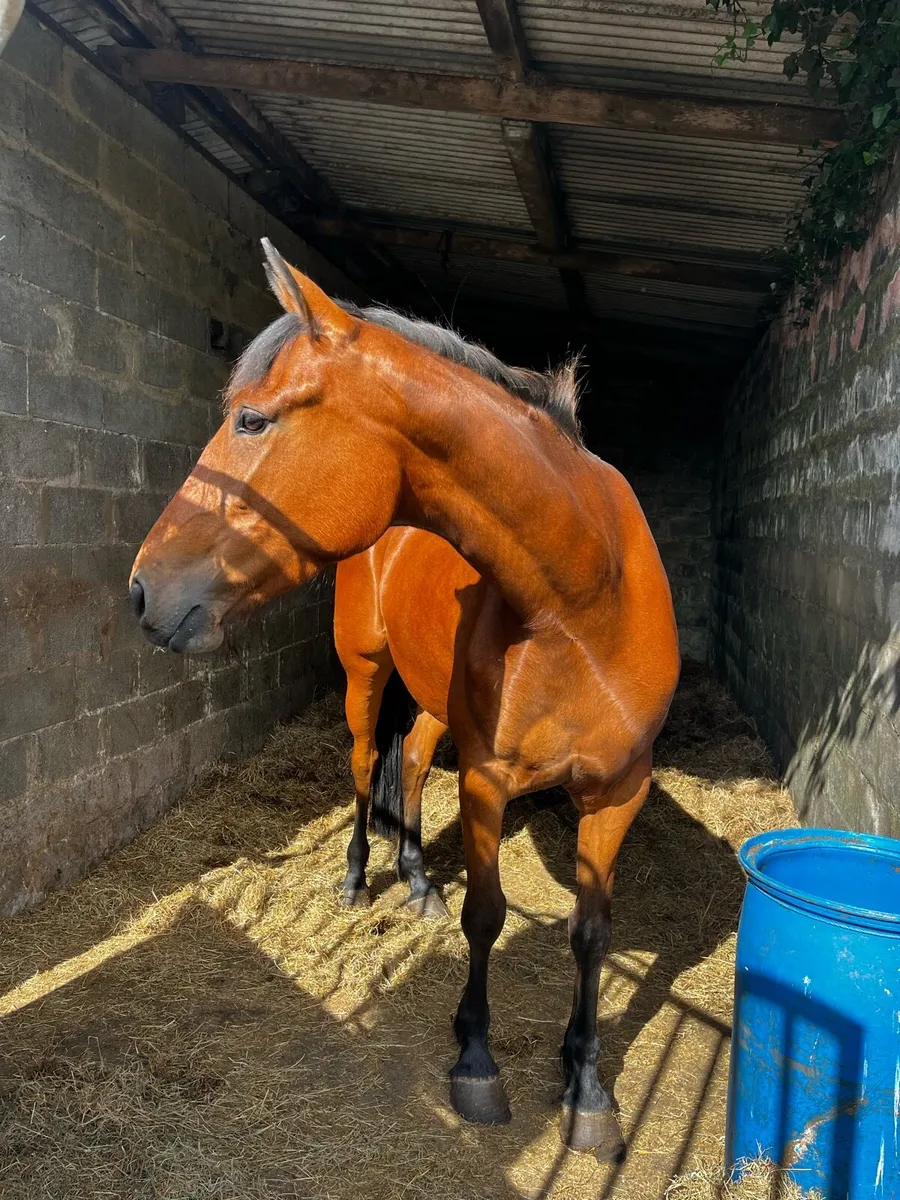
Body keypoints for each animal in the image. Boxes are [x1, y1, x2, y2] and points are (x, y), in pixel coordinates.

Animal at [129, 239, 681, 1160]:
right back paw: (360, 879)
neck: (583, 602)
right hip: (365, 674)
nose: (142, 591)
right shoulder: (490, 782)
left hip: (429, 703)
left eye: (252, 421)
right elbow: (488, 917)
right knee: (363, 768)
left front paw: (587, 1087)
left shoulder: (618, 792)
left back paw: (418, 880)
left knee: (414, 763)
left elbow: (591, 933)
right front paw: (476, 1063)